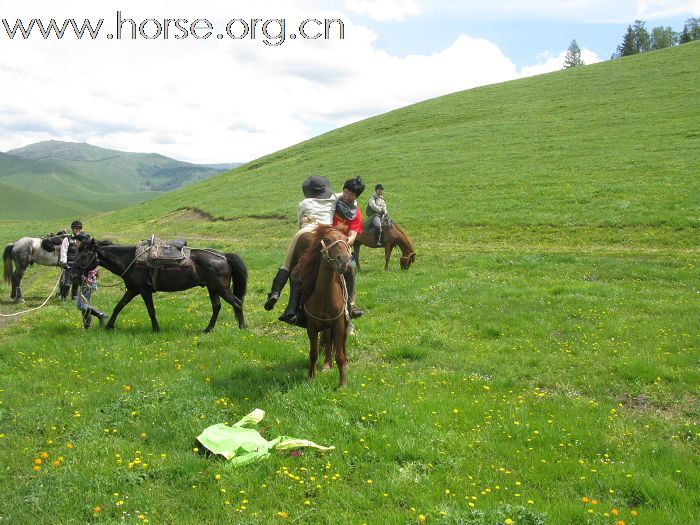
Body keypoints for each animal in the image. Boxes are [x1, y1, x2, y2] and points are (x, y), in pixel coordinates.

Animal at [74, 238, 247, 332]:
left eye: (85, 254)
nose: (73, 269)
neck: (131, 260)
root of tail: (223, 256)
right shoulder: (132, 290)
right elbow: (119, 306)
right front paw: (109, 326)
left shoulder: (144, 291)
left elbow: (151, 311)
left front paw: (156, 329)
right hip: (212, 288)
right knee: (217, 306)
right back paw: (208, 329)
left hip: (221, 288)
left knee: (237, 303)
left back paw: (242, 327)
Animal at [296, 224, 352, 384]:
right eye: (327, 240)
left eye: (346, 239)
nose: (344, 260)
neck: (324, 297)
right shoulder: (311, 327)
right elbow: (314, 352)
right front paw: (311, 376)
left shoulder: (339, 325)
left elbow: (339, 355)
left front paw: (343, 382)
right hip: (326, 327)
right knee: (327, 339)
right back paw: (327, 364)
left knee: (342, 342)